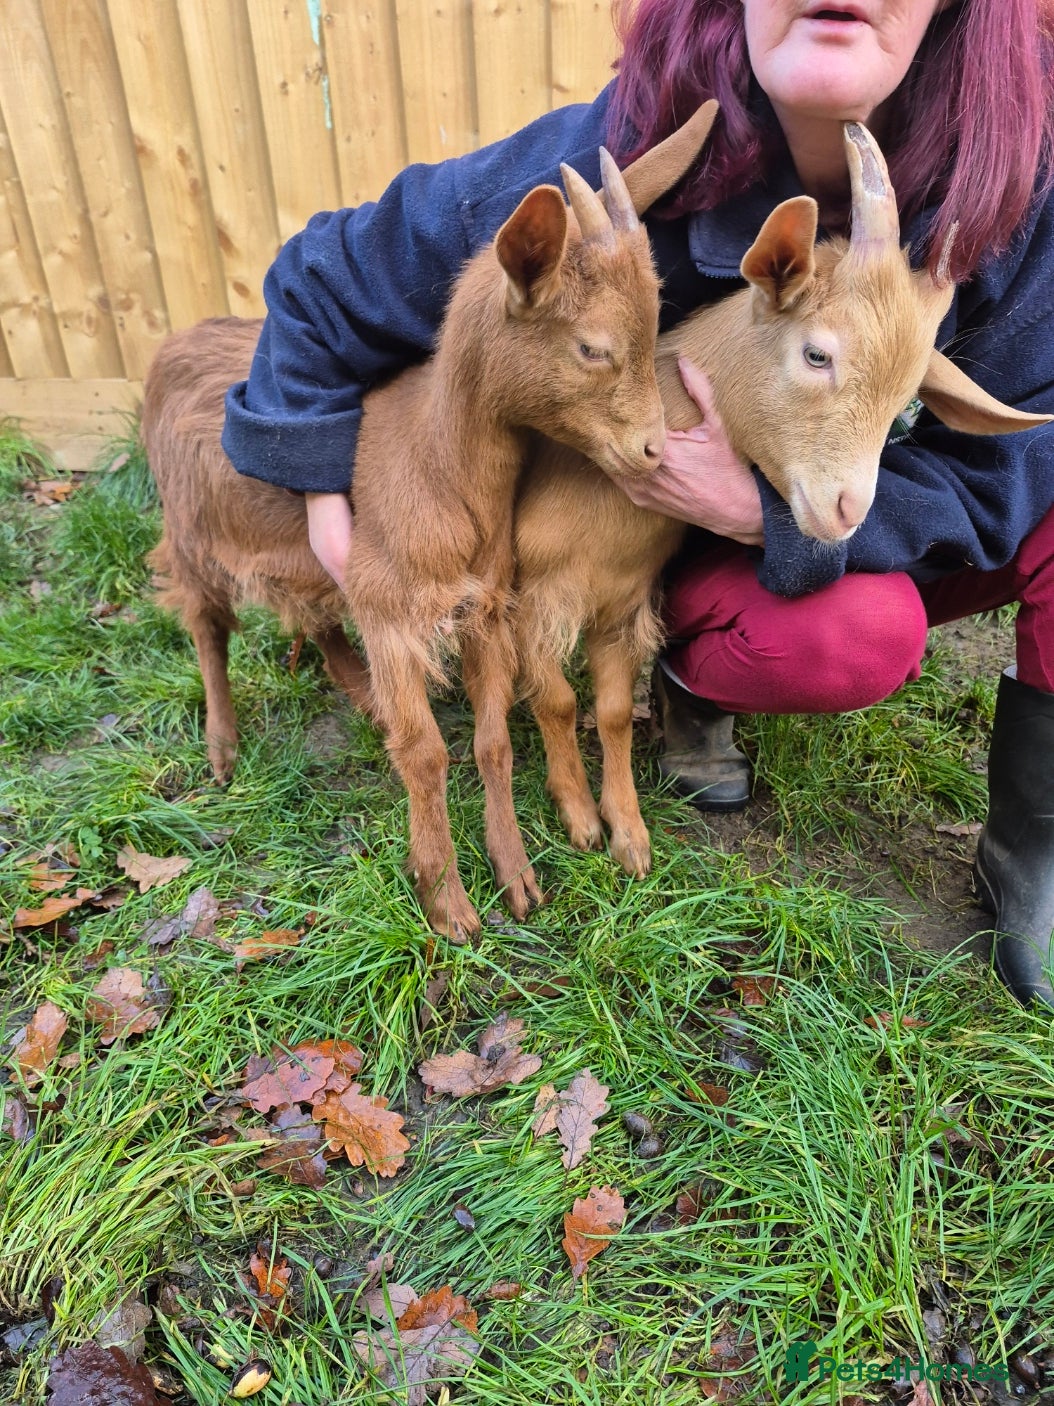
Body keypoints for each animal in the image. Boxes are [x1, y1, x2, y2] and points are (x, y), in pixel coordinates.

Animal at [143, 104, 719, 942]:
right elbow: (422, 752)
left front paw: (517, 879)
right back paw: (222, 748)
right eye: (593, 348)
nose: (652, 450)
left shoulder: (485, 606)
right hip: (189, 535)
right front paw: (446, 901)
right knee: (207, 627)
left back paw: (358, 694)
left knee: (313, 613)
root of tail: (170, 344)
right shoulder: (393, 609)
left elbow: (490, 741)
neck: (438, 466)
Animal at [512, 122, 1054, 877]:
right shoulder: (532, 595)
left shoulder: (621, 604)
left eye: (907, 399)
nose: (847, 512)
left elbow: (610, 709)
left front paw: (625, 836)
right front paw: (580, 821)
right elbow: (555, 699)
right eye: (817, 355)